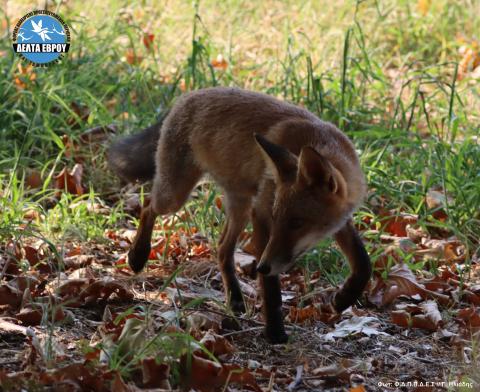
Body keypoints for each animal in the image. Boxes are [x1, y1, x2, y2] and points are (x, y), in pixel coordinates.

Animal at [108, 86, 372, 344]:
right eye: (277, 219)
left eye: (297, 222)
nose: (262, 266)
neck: (321, 141)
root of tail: (188, 95)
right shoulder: (262, 213)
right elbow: (271, 288)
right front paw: (274, 331)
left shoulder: (341, 221)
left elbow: (363, 262)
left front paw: (345, 298)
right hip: (176, 196)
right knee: (148, 205)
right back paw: (138, 254)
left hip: (240, 207)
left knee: (222, 248)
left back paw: (235, 298)